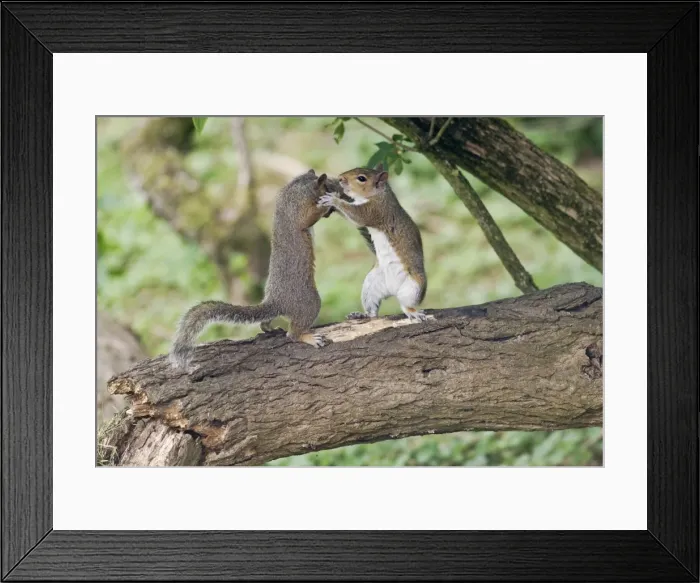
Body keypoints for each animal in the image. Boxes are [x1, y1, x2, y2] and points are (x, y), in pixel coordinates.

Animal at [170, 169, 340, 371]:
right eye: (328, 185)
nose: (339, 197)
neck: (296, 188)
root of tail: (276, 301)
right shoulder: (298, 210)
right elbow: (308, 217)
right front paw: (326, 204)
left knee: (265, 322)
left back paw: (270, 328)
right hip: (309, 302)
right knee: (293, 334)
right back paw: (307, 337)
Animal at [318, 164, 429, 322]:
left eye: (361, 178)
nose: (340, 178)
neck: (379, 194)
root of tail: (392, 290)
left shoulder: (376, 211)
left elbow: (357, 216)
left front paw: (334, 199)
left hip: (414, 287)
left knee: (406, 304)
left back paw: (413, 312)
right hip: (371, 285)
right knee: (373, 309)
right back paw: (362, 314)